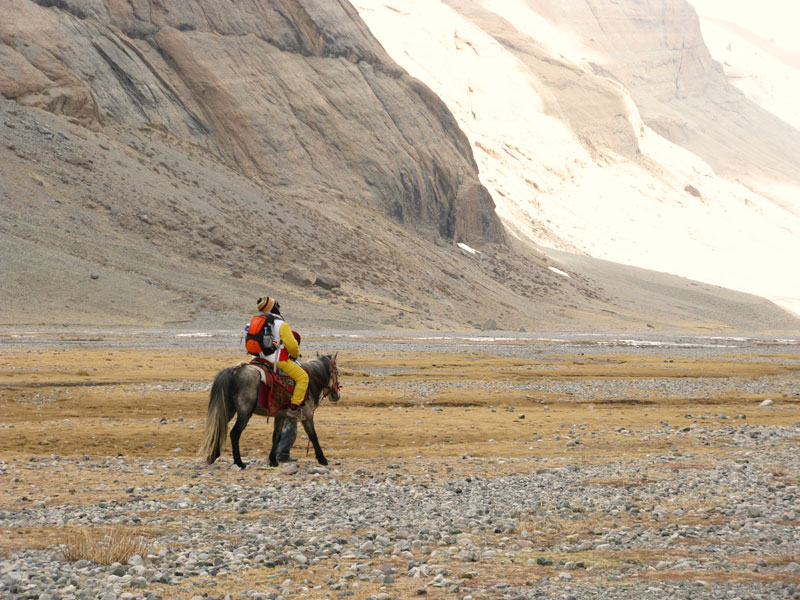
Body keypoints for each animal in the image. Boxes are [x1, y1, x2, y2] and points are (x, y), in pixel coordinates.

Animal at [199, 354, 340, 469]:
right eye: (337, 372)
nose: (337, 395)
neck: (309, 381)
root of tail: (234, 371)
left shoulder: (280, 416)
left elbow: (276, 436)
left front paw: (273, 460)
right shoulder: (306, 415)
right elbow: (313, 435)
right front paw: (322, 459)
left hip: (229, 411)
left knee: (219, 426)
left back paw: (212, 456)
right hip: (244, 413)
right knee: (234, 433)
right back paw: (239, 462)